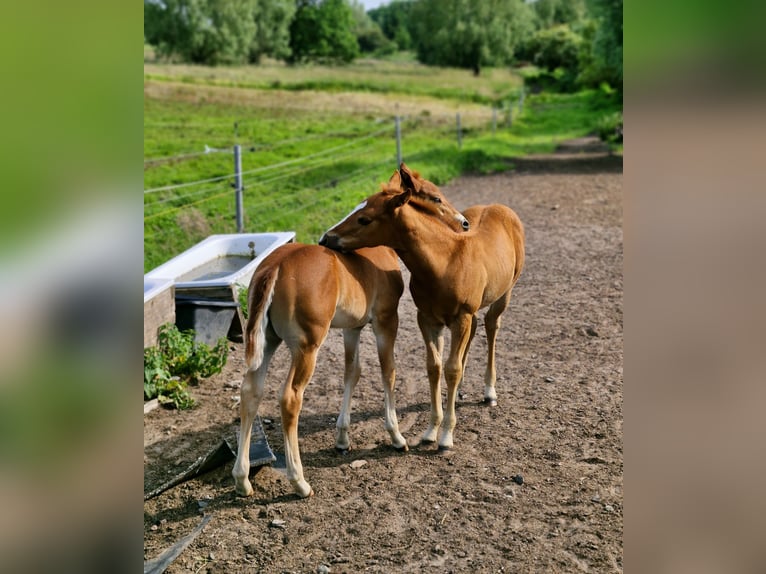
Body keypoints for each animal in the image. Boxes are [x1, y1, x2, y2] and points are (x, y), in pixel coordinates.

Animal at [233, 170, 469, 498]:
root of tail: (274, 266)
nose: (463, 222)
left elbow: (351, 372)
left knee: (250, 392)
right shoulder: (385, 321)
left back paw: (242, 480)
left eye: (364, 214)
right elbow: (388, 372)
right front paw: (396, 436)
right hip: (306, 347)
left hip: (267, 342)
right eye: (435, 198)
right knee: (290, 398)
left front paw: (342, 439)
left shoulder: (351, 328)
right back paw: (299, 481)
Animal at [320, 163, 525, 452]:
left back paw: (489, 391)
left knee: (491, 327)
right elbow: (435, 367)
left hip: (504, 294)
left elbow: (451, 368)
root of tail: (496, 206)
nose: (326, 238)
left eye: (364, 219)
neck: (445, 261)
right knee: (474, 332)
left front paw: (446, 436)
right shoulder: (428, 319)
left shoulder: (460, 317)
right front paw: (430, 431)